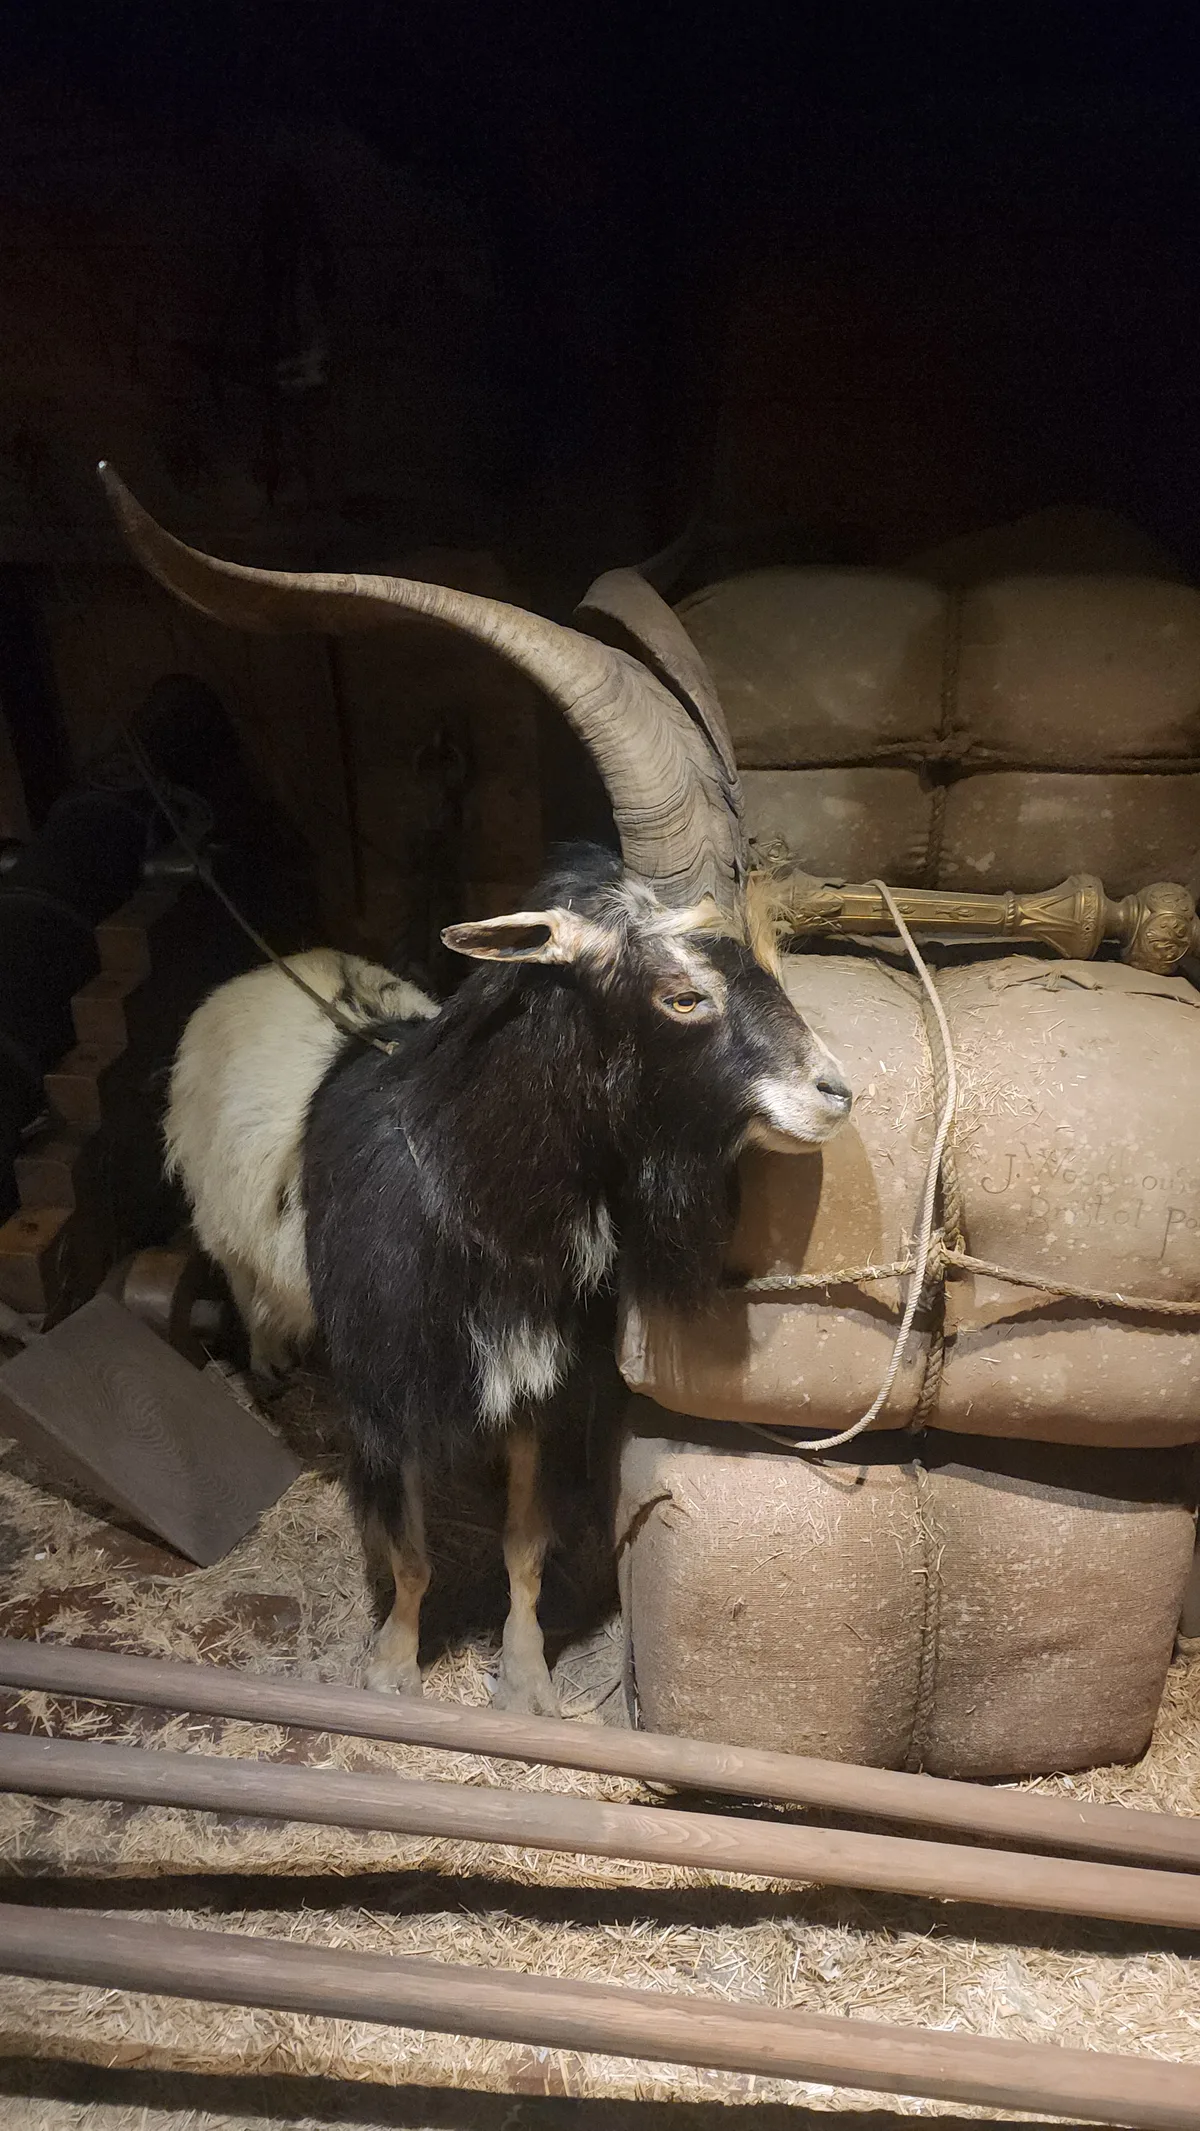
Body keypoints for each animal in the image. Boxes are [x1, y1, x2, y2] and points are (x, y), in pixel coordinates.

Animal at [102, 468, 854, 1714]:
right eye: (684, 991)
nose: (831, 1093)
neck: (463, 1193)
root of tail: (265, 969)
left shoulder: (534, 1394)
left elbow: (522, 1540)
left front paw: (528, 1680)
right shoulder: (381, 1397)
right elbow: (407, 1548)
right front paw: (394, 1671)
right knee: (250, 1311)